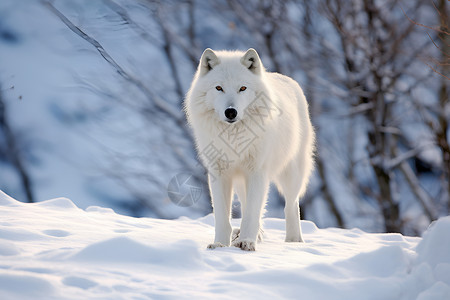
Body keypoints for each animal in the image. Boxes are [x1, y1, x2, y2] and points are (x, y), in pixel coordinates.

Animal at [185, 48, 314, 251]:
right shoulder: (219, 173)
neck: (234, 138)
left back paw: (294, 241)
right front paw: (220, 244)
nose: (231, 112)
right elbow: (223, 216)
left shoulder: (257, 172)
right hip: (240, 181)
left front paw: (247, 242)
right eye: (219, 88)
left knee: (291, 205)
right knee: (248, 204)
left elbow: (253, 212)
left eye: (243, 88)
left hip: (291, 173)